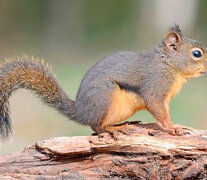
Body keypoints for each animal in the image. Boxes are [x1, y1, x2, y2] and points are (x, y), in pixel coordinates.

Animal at [0, 24, 207, 139]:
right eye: (197, 54)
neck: (168, 65)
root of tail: (81, 112)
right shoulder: (155, 86)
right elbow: (157, 108)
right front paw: (173, 129)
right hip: (105, 95)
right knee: (96, 127)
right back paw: (113, 129)